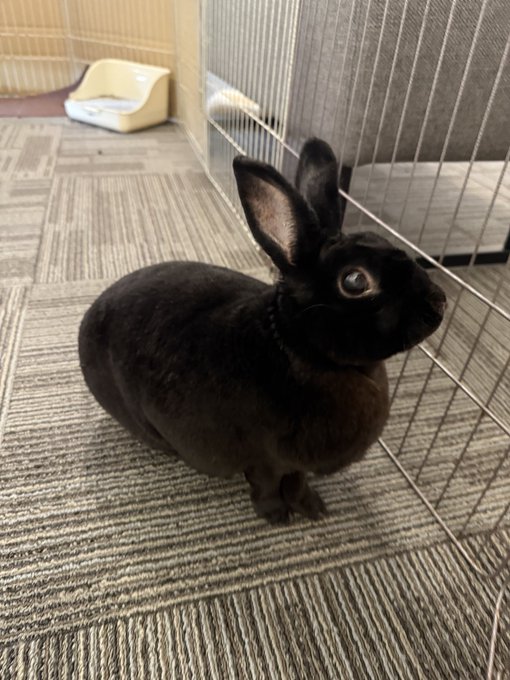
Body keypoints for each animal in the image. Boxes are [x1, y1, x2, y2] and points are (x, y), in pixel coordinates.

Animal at [79, 138, 446, 524]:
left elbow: (297, 482)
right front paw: (277, 516)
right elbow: (267, 485)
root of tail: (87, 318)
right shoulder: (265, 460)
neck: (299, 347)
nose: (439, 303)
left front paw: (313, 510)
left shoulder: (295, 464)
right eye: (355, 281)